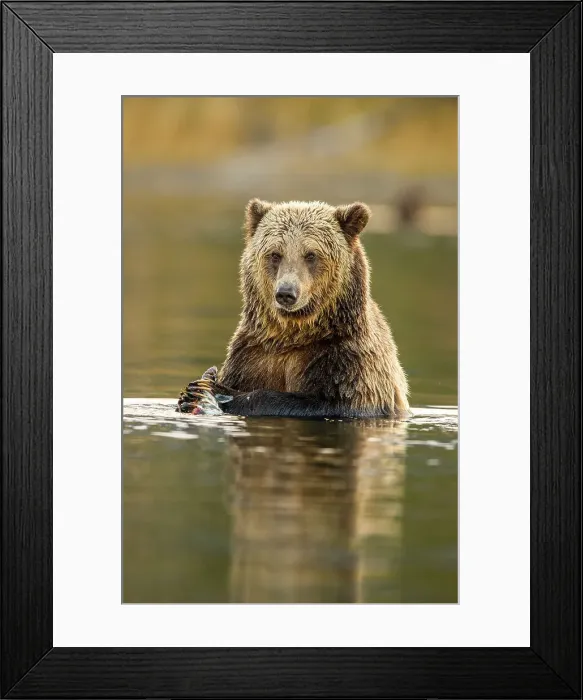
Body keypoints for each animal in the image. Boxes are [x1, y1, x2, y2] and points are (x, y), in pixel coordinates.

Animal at [177, 199, 409, 418]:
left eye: (311, 255)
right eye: (275, 254)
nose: (286, 293)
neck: (292, 335)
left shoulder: (347, 362)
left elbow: (327, 402)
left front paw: (216, 391)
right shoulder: (251, 356)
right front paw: (193, 391)